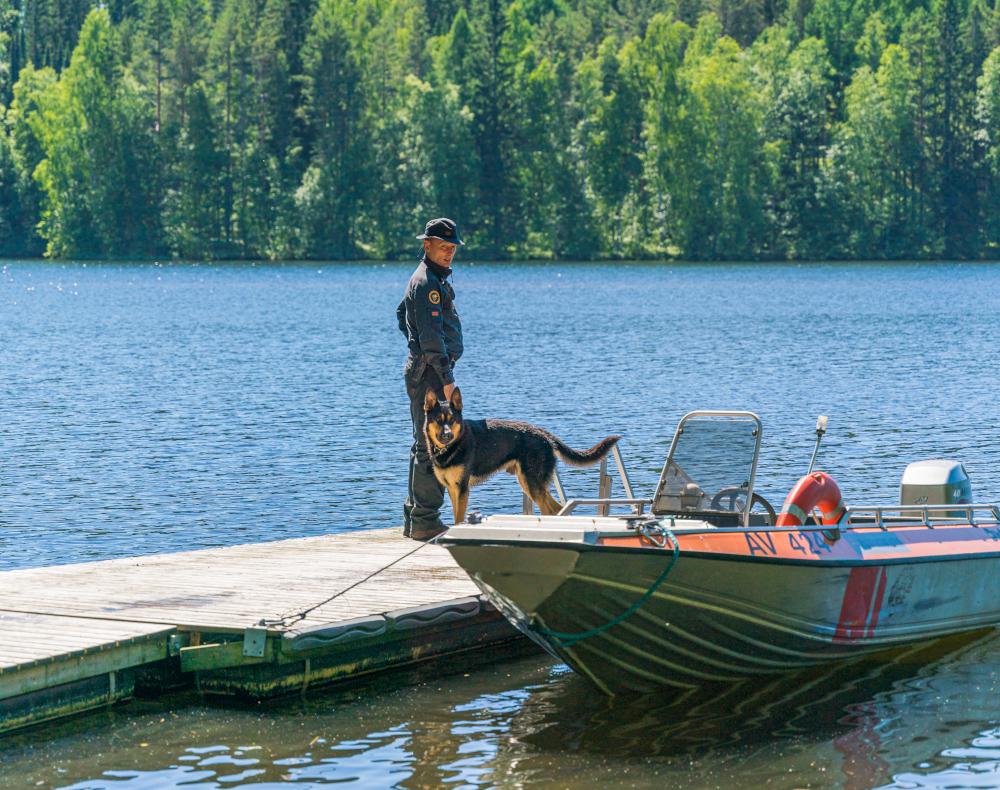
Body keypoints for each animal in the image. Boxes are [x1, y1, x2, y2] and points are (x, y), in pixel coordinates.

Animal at [426, 388, 620, 524]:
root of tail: (546, 435)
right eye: (438, 420)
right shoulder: (453, 490)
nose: (447, 435)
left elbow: (458, 520)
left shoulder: (462, 490)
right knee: (557, 509)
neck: (452, 446)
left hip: (531, 483)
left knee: (548, 511)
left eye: (452, 420)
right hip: (530, 483)